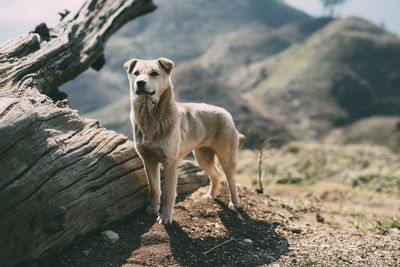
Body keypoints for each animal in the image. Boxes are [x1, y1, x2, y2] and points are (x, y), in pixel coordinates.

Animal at [124, 58, 244, 224]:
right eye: (136, 73)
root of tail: (226, 113)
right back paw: (210, 196)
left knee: (231, 179)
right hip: (202, 157)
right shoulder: (148, 161)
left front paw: (165, 217)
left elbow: (168, 193)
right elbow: (154, 189)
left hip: (226, 157)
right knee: (216, 175)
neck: (150, 116)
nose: (140, 83)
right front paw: (153, 209)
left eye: (154, 73)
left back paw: (234, 203)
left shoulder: (170, 162)